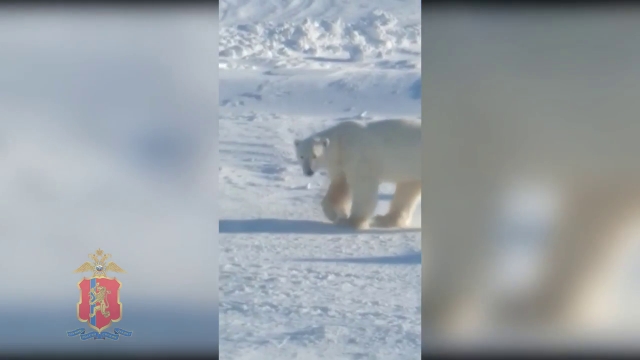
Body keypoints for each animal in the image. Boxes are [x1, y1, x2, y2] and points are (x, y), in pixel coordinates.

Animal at [292, 119, 422, 229]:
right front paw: (337, 215)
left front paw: (351, 221)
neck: (340, 140)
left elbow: (363, 186)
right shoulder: (340, 164)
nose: (308, 171)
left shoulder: (357, 155)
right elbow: (340, 186)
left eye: (315, 156)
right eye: (301, 156)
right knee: (407, 190)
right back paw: (384, 219)